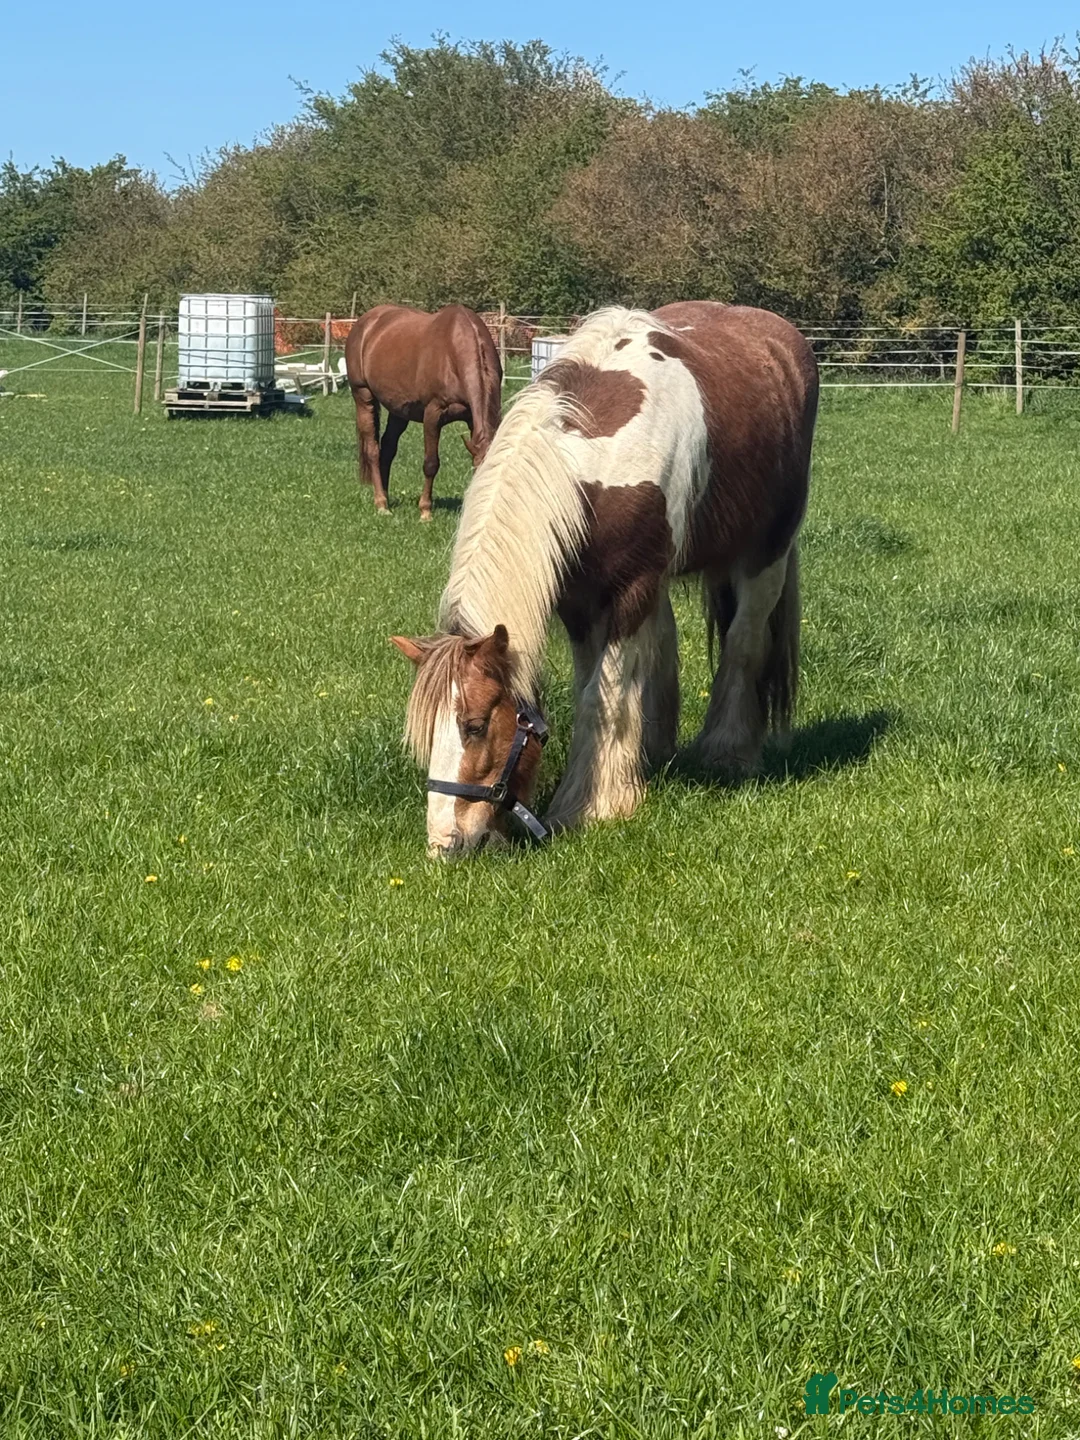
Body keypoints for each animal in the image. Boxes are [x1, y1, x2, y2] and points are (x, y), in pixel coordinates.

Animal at [344, 303, 502, 519]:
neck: (455, 351)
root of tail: (365, 322)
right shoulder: (433, 415)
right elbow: (431, 464)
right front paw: (425, 510)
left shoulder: (472, 419)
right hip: (363, 396)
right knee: (373, 450)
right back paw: (381, 504)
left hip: (399, 410)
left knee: (388, 449)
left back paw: (386, 496)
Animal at [390, 301, 819, 855]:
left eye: (476, 726)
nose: (446, 844)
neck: (595, 464)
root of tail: (782, 337)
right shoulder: (579, 601)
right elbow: (593, 690)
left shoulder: (629, 592)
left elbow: (603, 694)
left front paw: (592, 806)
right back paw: (653, 750)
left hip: (766, 554)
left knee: (743, 644)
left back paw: (728, 750)